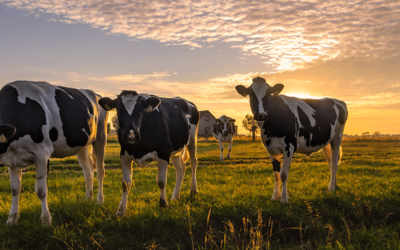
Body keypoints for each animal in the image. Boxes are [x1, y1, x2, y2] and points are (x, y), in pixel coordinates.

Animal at [0, 81, 108, 226]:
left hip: (101, 137)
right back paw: (88, 199)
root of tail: (96, 94)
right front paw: (12, 219)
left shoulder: (42, 153)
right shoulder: (11, 159)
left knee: (100, 171)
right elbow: (15, 189)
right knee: (88, 171)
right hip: (82, 145)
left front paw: (46, 220)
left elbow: (41, 190)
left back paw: (99, 201)